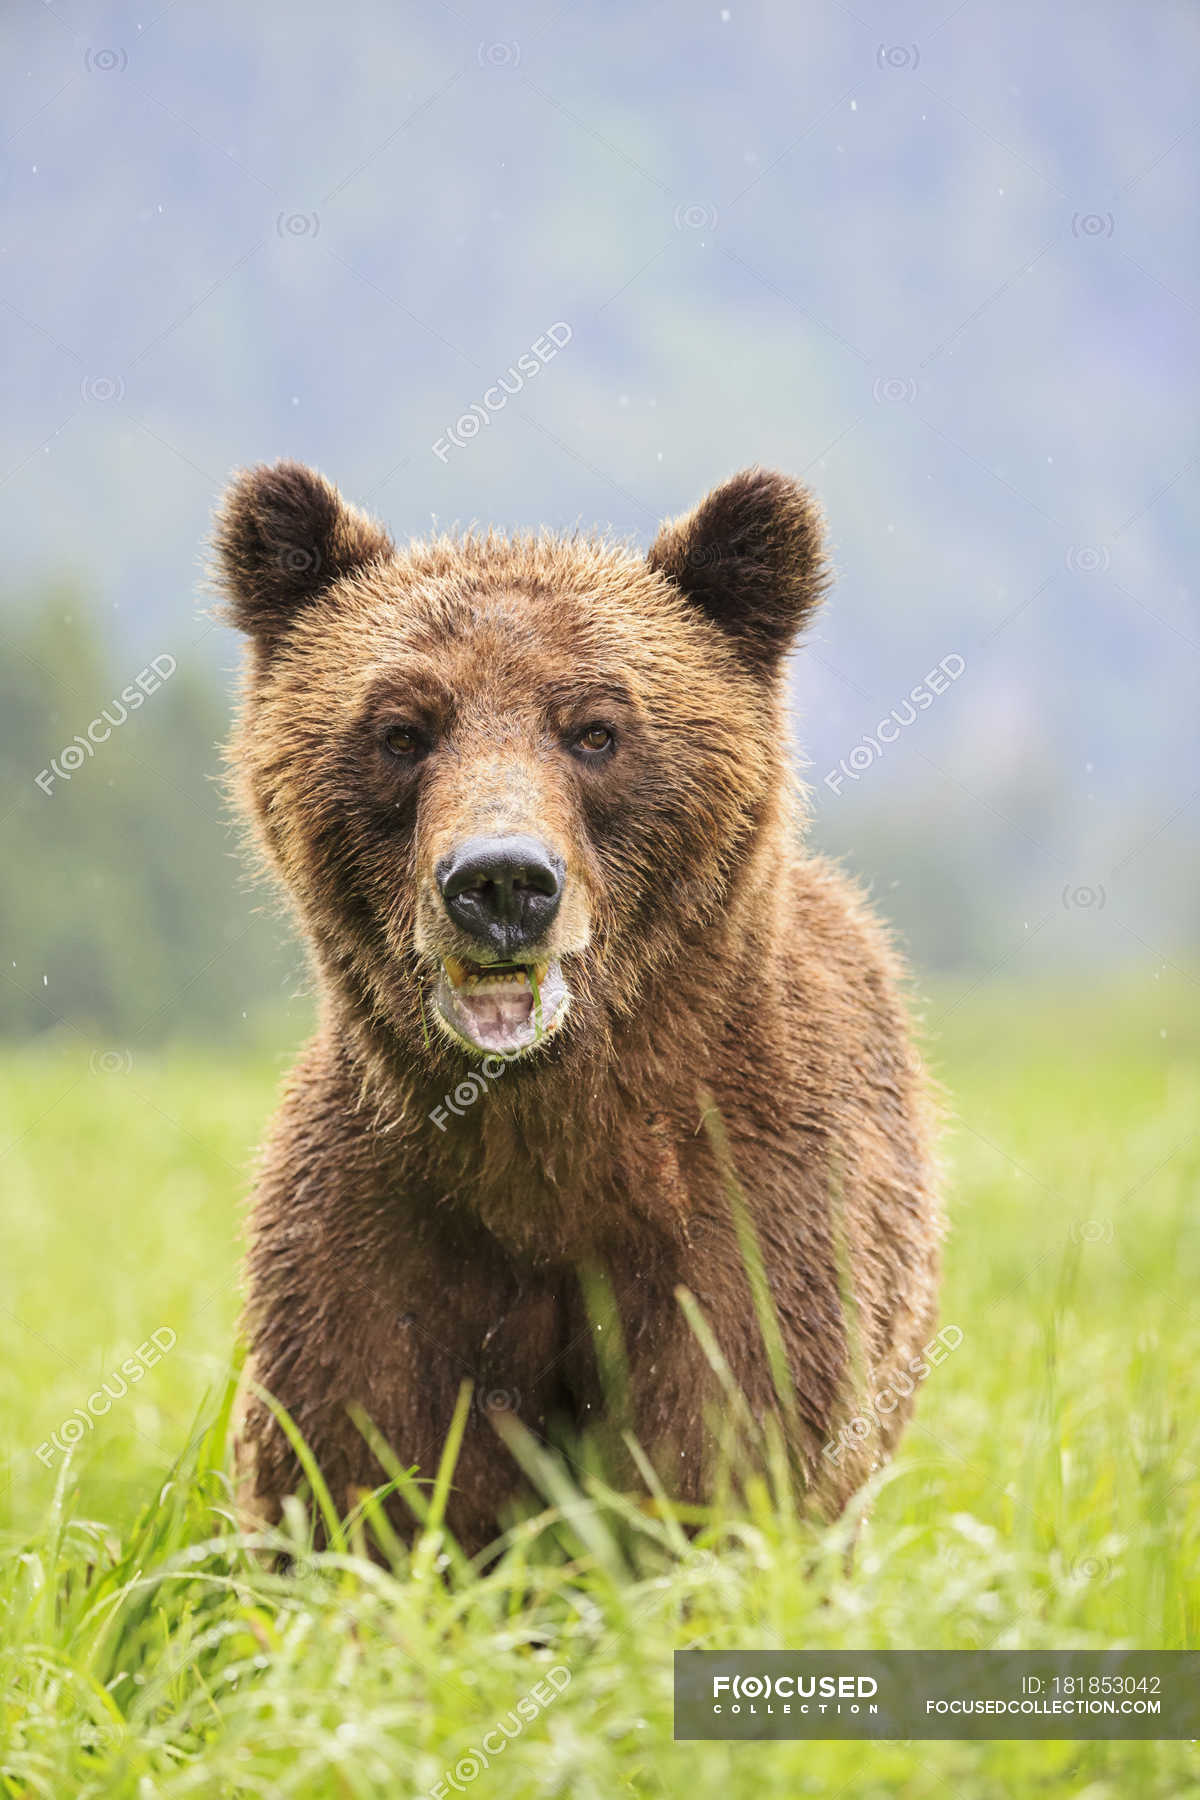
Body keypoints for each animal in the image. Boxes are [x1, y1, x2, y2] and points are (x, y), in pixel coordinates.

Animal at [218, 457, 949, 1555]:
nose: (500, 881)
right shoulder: (374, 1233)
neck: (553, 1151)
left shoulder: (758, 1213)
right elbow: (362, 1469)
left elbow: (725, 1450)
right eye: (402, 730)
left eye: (597, 730)